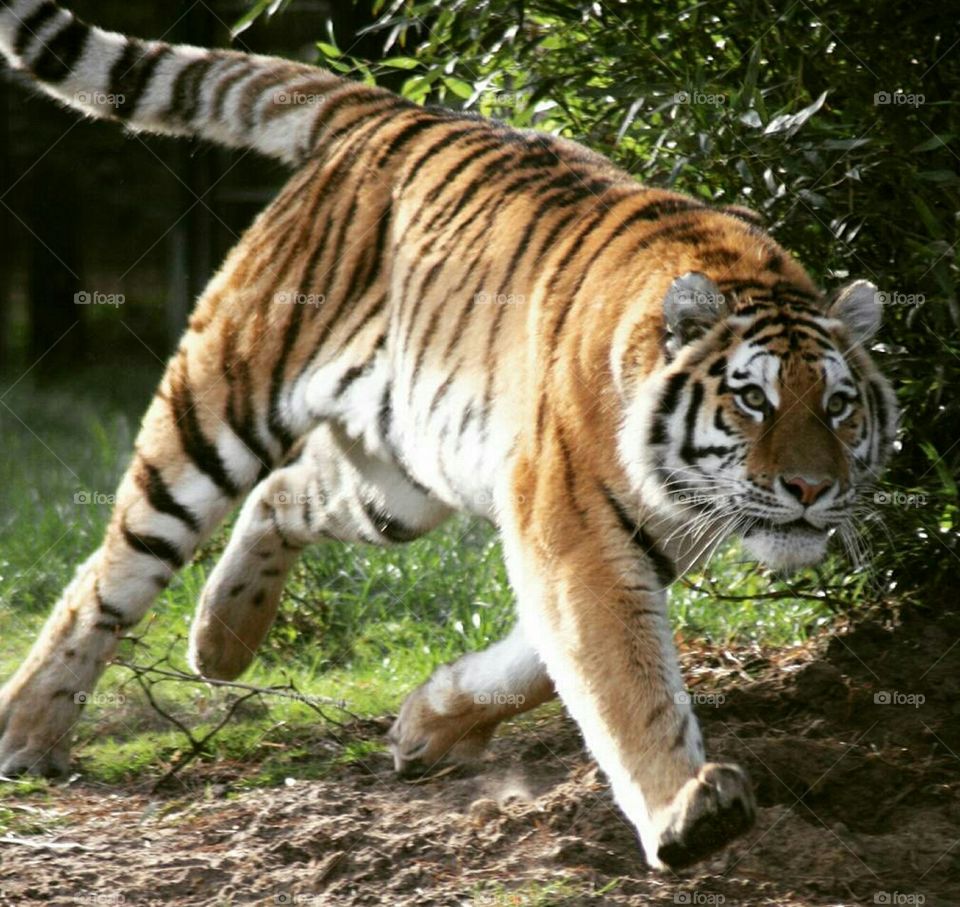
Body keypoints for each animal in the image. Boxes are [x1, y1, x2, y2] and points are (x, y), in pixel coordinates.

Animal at [0, 0, 898, 871]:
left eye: (839, 406)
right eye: (752, 399)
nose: (810, 489)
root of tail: (393, 110)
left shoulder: (621, 538)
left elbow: (540, 665)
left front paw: (424, 726)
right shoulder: (576, 534)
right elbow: (626, 683)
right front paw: (689, 809)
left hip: (398, 485)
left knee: (282, 493)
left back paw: (221, 641)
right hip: (220, 404)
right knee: (114, 567)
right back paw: (27, 731)